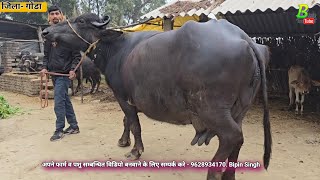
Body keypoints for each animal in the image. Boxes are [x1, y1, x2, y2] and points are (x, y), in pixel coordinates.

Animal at [42, 13, 272, 179]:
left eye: (79, 21)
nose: (46, 31)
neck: (116, 49)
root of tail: (244, 38)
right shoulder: (126, 97)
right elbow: (127, 121)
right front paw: (123, 141)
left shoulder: (122, 96)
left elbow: (134, 123)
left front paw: (135, 151)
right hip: (241, 108)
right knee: (238, 140)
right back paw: (229, 175)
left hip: (211, 108)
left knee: (232, 136)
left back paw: (213, 174)